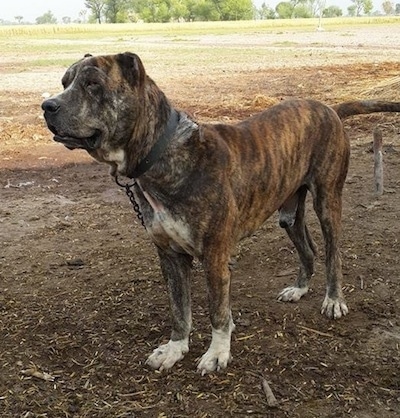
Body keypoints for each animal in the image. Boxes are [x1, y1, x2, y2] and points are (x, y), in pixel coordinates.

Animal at [42, 53, 400, 376]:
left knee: (333, 252)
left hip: (327, 202)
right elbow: (179, 309)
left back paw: (334, 300)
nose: (48, 105)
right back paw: (299, 289)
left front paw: (217, 353)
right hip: (288, 212)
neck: (163, 153)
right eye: (64, 82)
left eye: (92, 84)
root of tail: (329, 108)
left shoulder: (214, 255)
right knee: (308, 249)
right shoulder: (169, 256)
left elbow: (217, 310)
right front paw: (175, 348)